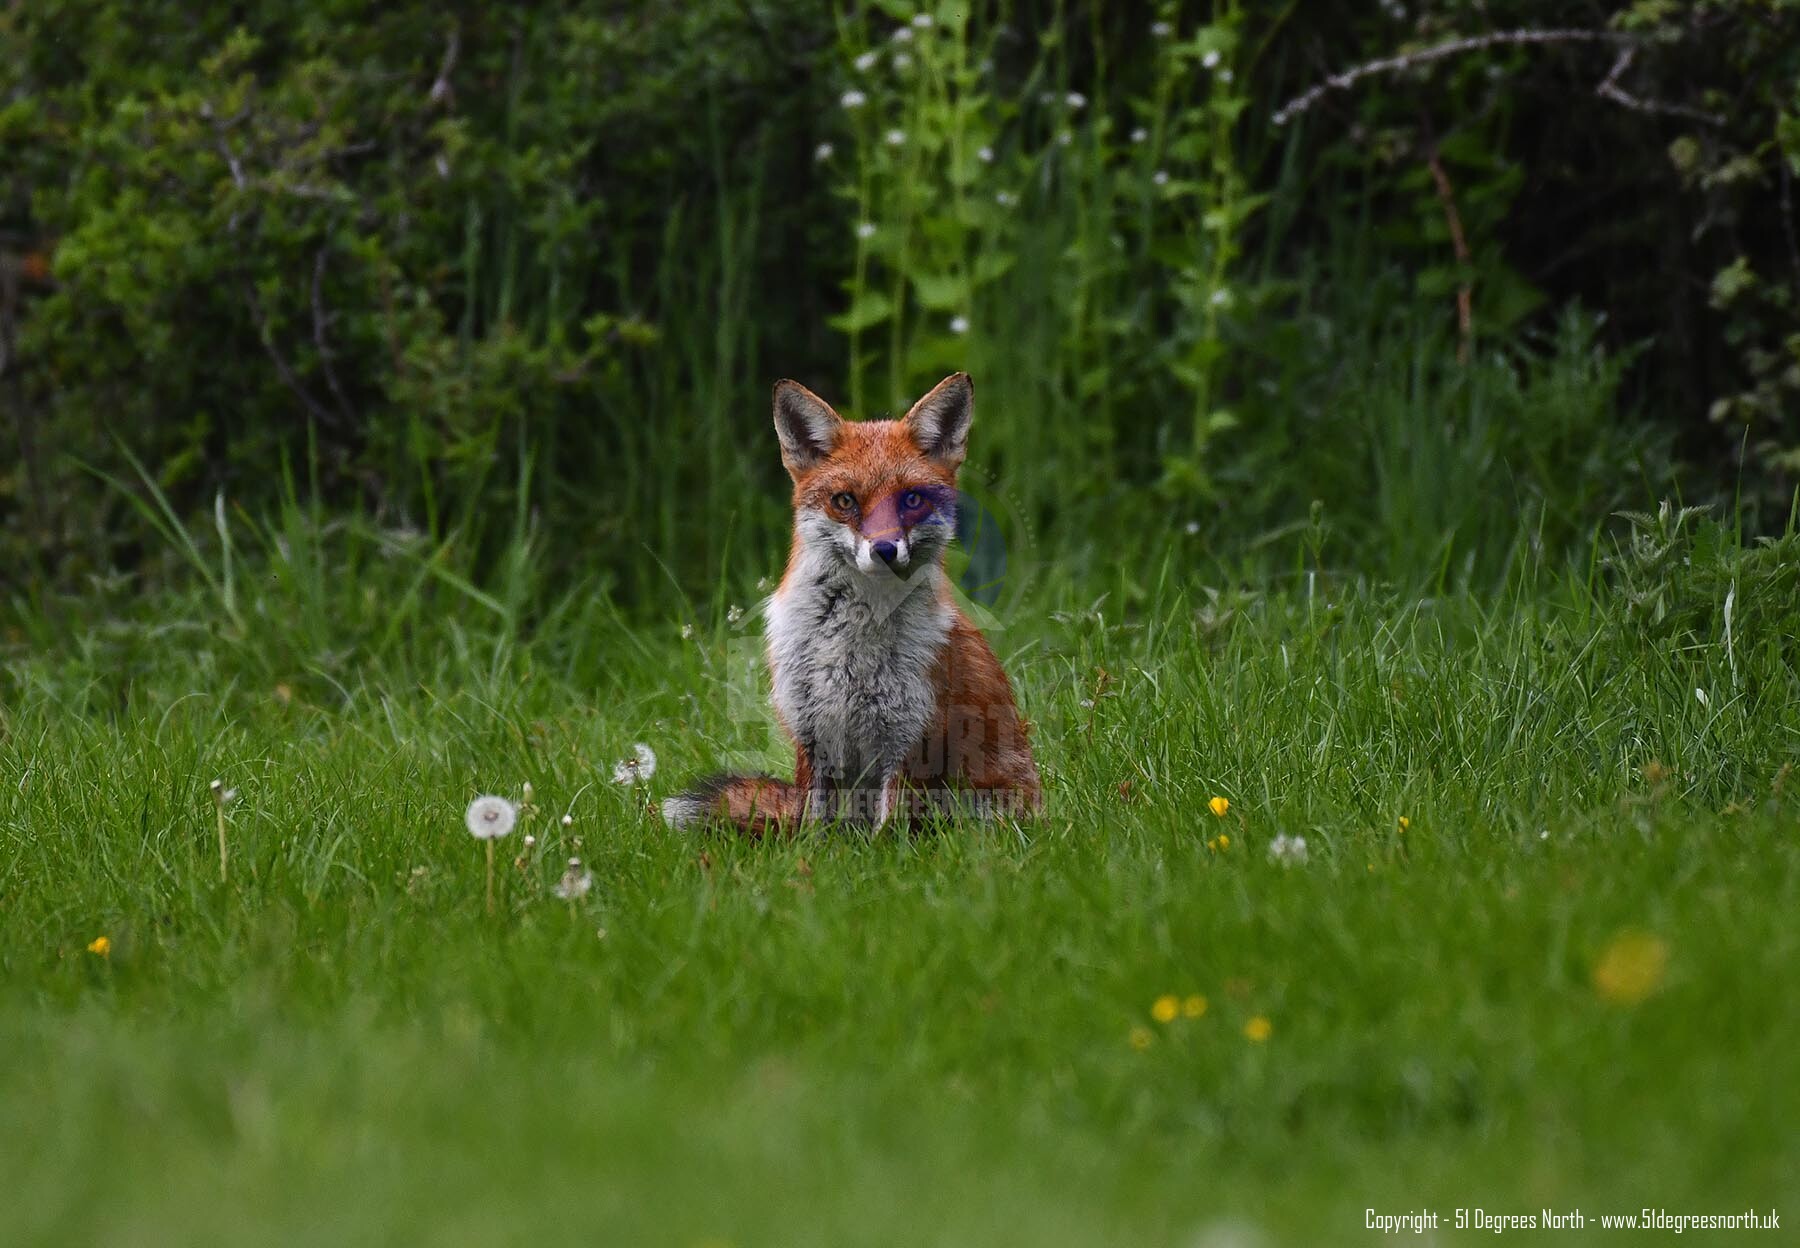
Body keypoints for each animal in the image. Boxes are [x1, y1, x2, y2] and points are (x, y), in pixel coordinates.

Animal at [662, 372, 1042, 833]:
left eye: (911, 500)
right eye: (845, 501)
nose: (884, 550)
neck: (849, 642)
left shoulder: (910, 737)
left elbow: (889, 831)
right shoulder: (810, 733)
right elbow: (812, 829)